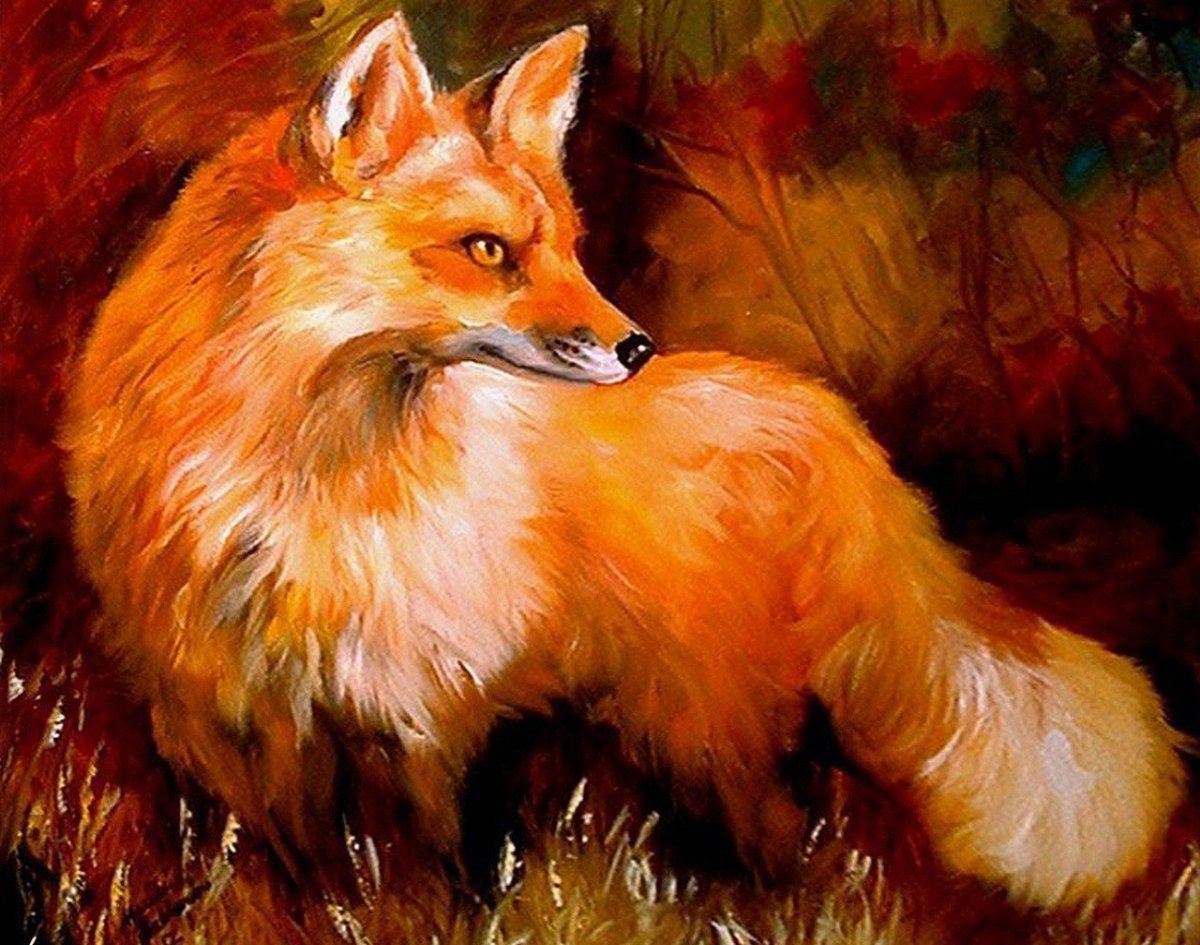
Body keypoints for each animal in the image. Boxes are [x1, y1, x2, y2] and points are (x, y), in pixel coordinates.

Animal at [63, 12, 1185, 913]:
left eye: (567, 244)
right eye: (488, 250)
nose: (636, 346)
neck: (299, 480)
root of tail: (832, 419)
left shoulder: (427, 705)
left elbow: (442, 866)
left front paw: (445, 915)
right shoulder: (231, 721)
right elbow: (300, 879)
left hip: (701, 724)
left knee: (789, 843)